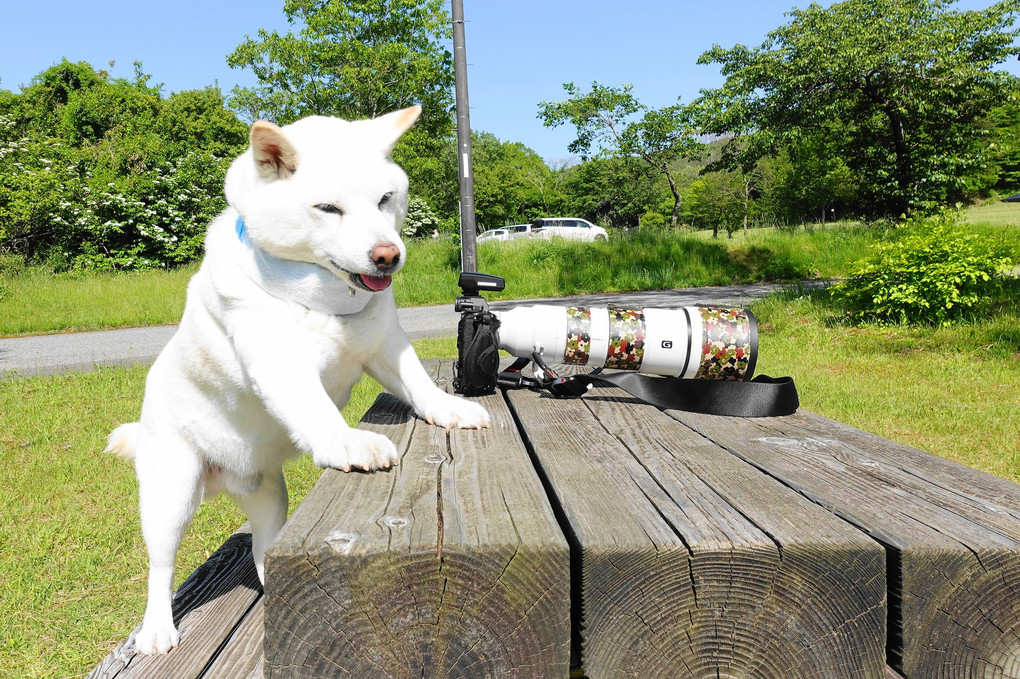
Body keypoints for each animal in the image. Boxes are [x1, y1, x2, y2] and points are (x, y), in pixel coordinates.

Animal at [107, 107, 489, 656]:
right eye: (328, 208)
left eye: (385, 199)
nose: (388, 255)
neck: (322, 299)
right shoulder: (277, 360)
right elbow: (316, 408)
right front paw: (348, 442)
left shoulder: (386, 343)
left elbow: (419, 382)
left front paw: (449, 409)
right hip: (170, 494)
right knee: (160, 567)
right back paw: (157, 628)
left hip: (268, 497)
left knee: (265, 547)